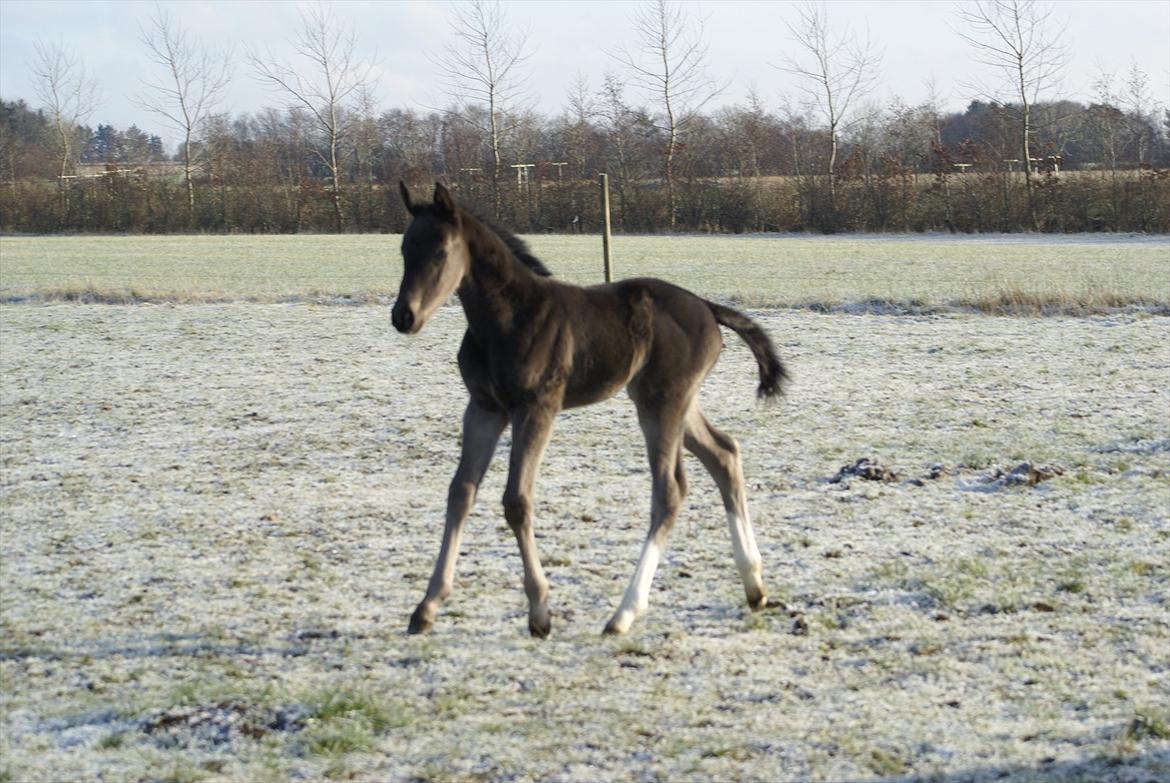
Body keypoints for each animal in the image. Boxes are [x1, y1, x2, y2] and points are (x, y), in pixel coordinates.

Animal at [393, 183, 786, 636]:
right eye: (404, 249)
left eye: (441, 252)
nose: (404, 316)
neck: (506, 320)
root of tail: (707, 307)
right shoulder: (484, 408)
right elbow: (460, 492)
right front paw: (427, 606)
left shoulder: (537, 407)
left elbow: (517, 500)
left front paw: (540, 613)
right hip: (670, 400)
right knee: (724, 454)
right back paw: (754, 585)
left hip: (661, 403)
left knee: (670, 491)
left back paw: (624, 613)